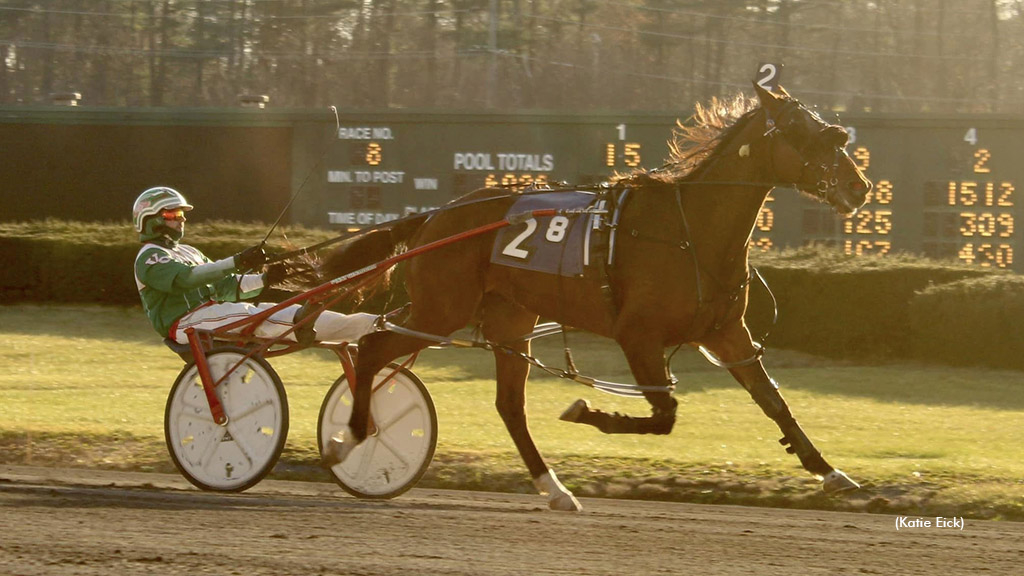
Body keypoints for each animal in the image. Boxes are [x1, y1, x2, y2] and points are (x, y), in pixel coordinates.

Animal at [319, 84, 872, 506]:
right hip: (441, 309)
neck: (688, 230)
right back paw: (350, 438)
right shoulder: (637, 333)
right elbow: (664, 416)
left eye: (833, 132)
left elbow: (773, 402)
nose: (860, 186)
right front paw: (587, 411)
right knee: (371, 348)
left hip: (505, 318)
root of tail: (435, 216)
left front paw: (830, 472)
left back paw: (554, 488)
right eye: (804, 131)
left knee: (507, 405)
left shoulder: (726, 333)